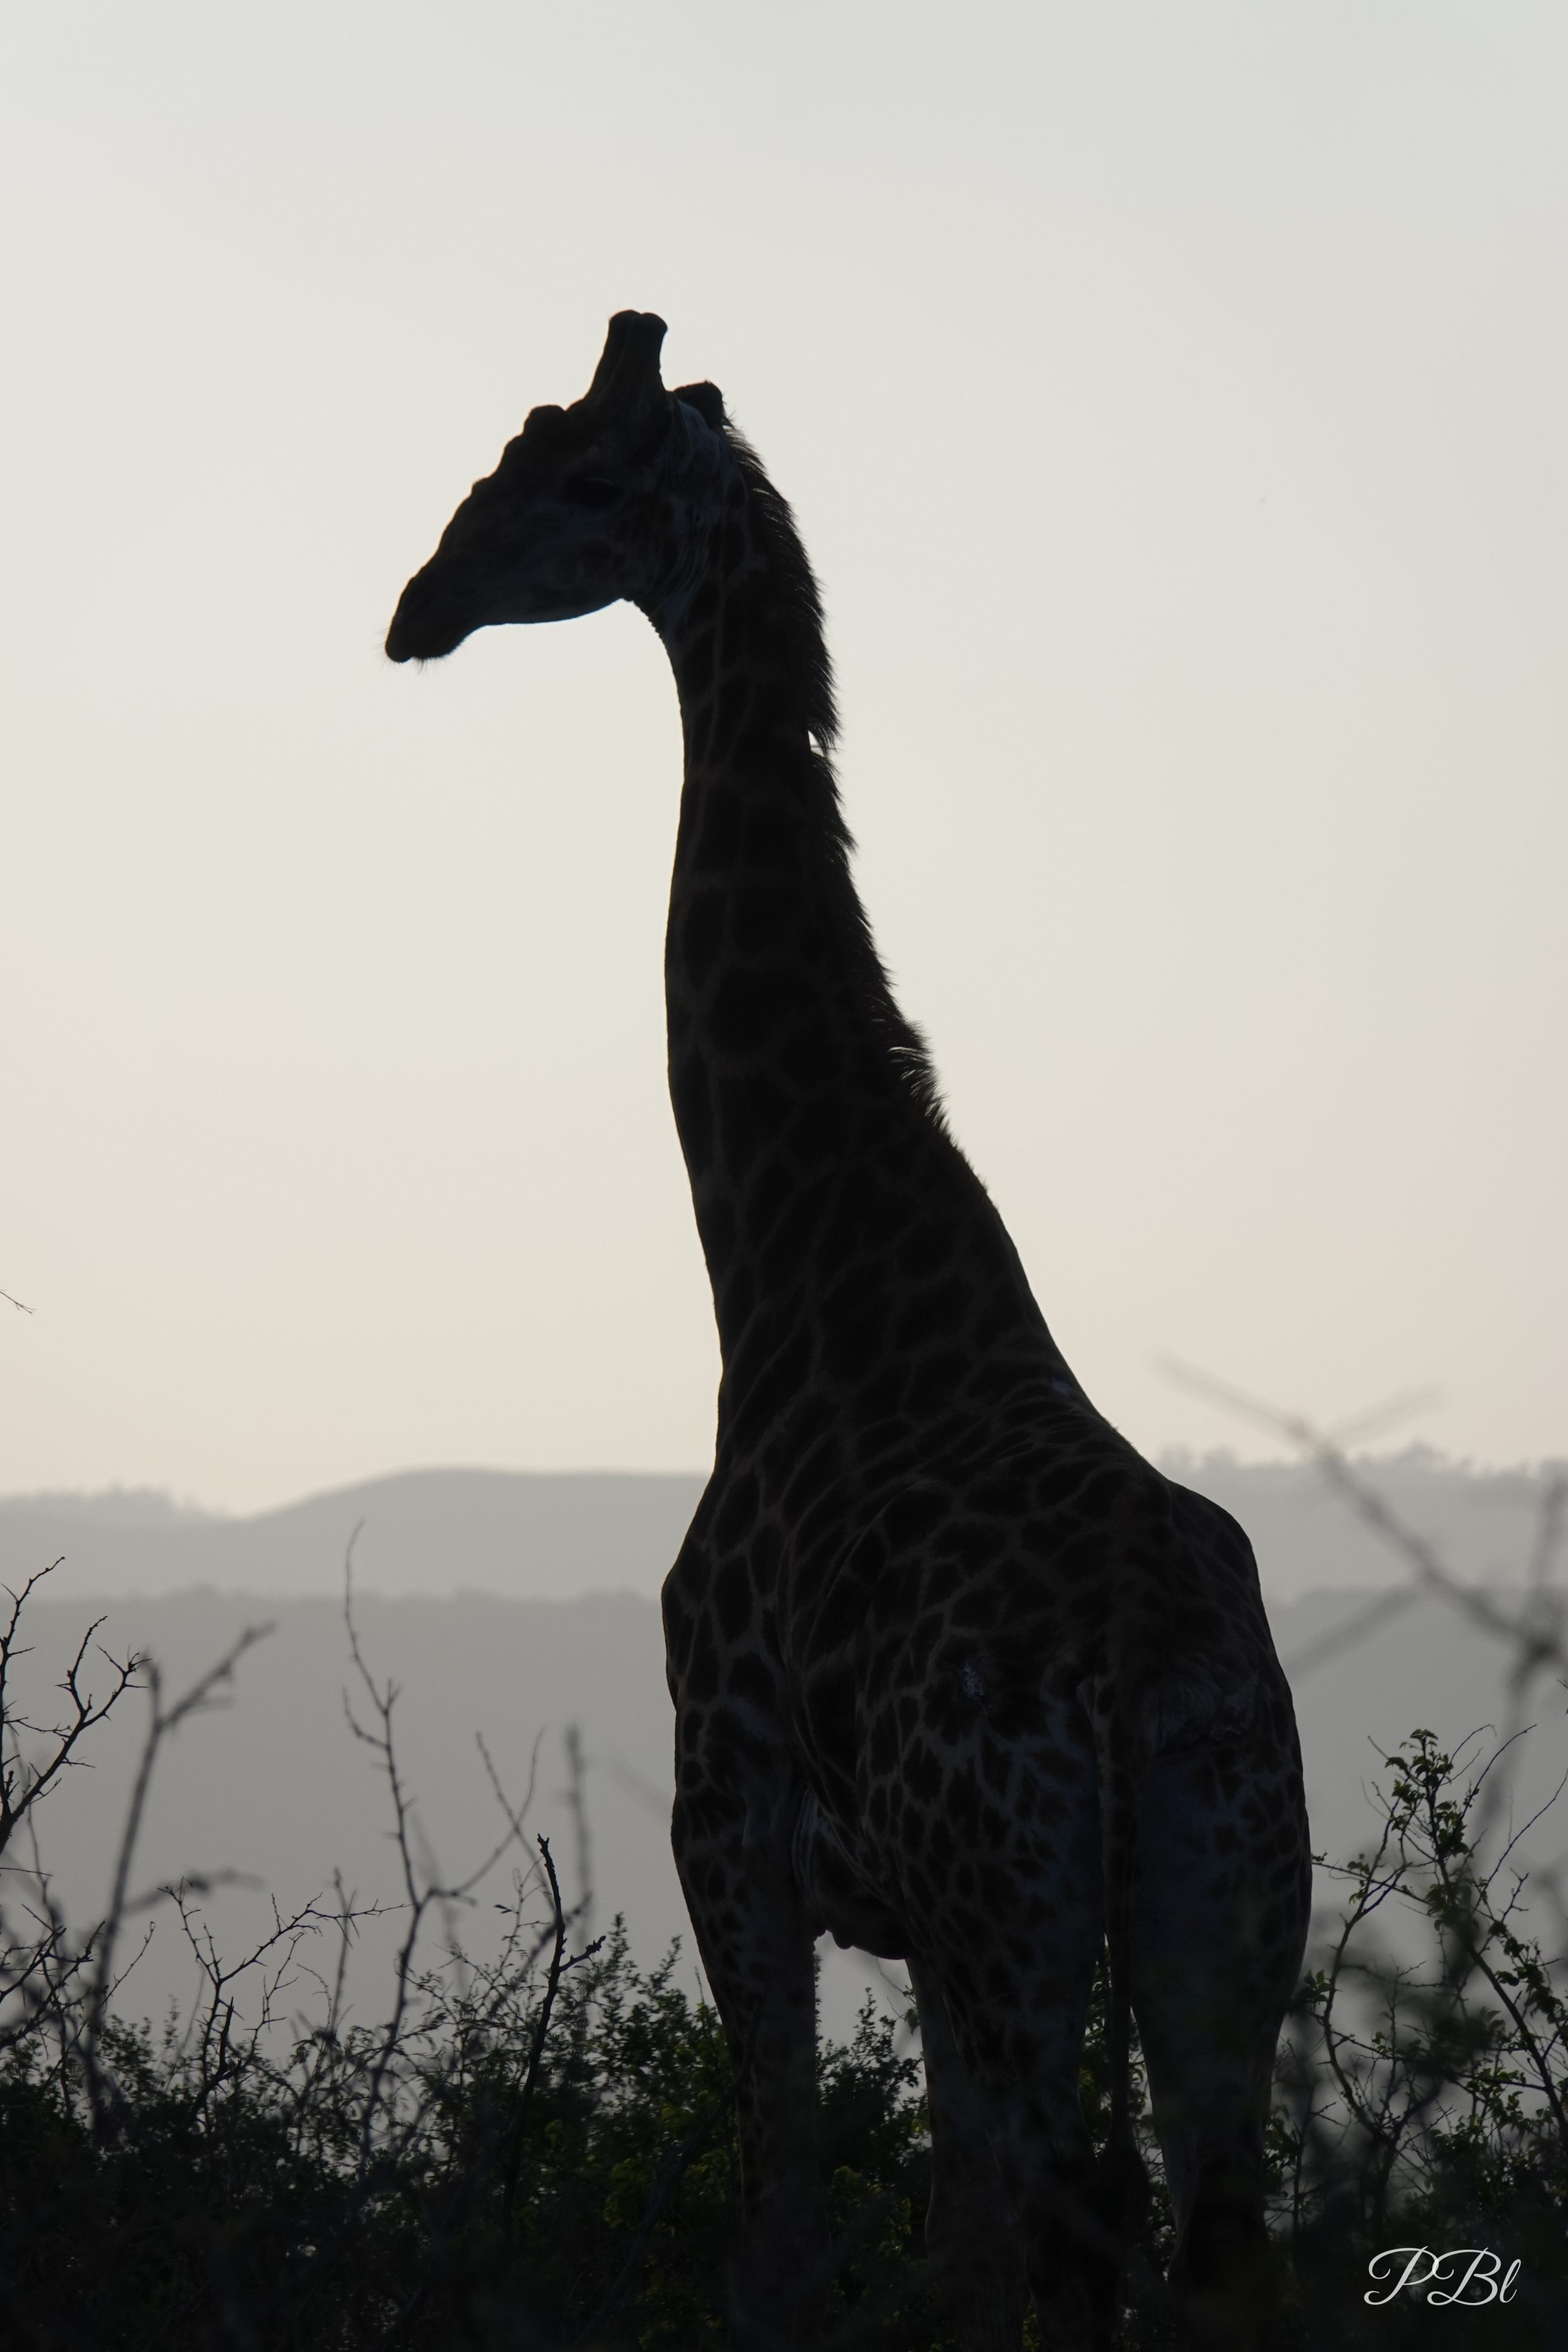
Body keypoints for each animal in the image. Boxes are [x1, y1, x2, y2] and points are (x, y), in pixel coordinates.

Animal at [386, 314, 1312, 2352]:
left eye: (566, 472)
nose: (416, 607)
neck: (794, 1266)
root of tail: (1149, 1671)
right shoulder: (900, 1914)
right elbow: (932, 2245)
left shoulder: (728, 1826)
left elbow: (793, 2224)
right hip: (1226, 1912)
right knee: (1211, 2244)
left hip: (1012, 1912)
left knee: (1077, 2236)